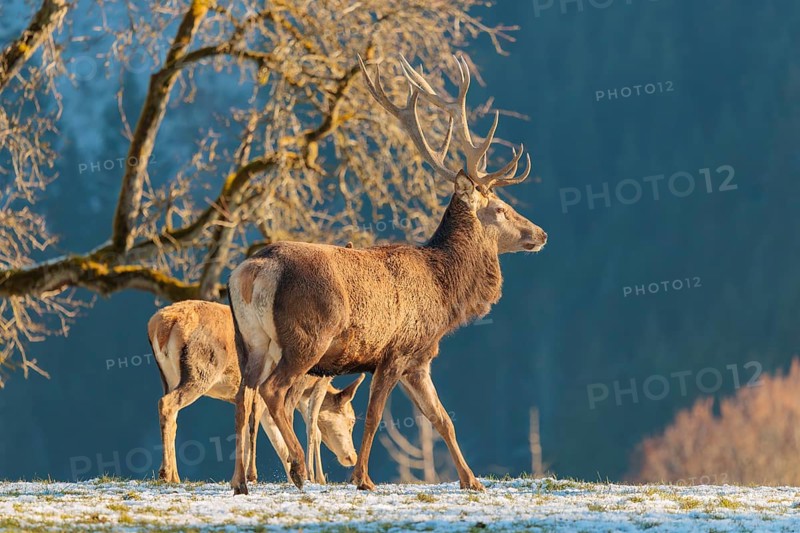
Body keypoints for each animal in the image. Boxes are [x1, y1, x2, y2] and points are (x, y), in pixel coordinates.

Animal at [148, 300, 364, 484]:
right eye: (351, 420)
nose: (352, 457)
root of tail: (160, 325)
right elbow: (309, 429)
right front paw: (313, 477)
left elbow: (265, 432)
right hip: (201, 372)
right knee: (166, 404)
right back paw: (167, 473)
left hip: (168, 377)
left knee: (172, 414)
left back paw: (172, 474)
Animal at [227, 54, 547, 495]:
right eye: (499, 208)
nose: (541, 233)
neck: (444, 291)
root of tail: (255, 270)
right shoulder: (396, 349)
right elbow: (375, 416)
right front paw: (362, 478)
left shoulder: (419, 358)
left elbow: (442, 418)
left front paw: (472, 481)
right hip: (307, 337)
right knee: (273, 393)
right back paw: (297, 468)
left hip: (250, 342)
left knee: (244, 398)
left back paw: (240, 481)